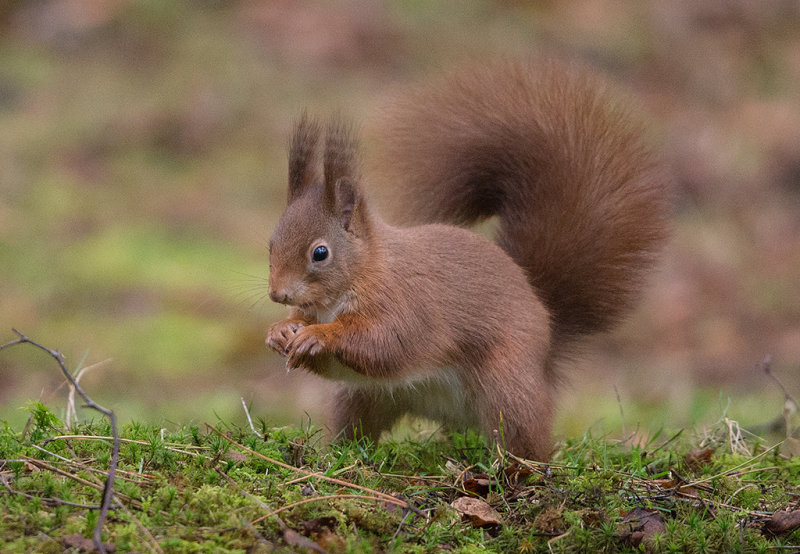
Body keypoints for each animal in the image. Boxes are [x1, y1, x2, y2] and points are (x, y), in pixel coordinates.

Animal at [264, 59, 668, 458]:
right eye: (271, 244)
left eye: (320, 253)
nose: (277, 294)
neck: (363, 271)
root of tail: (548, 342)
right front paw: (281, 330)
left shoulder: (407, 302)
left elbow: (386, 343)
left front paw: (319, 334)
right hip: (359, 397)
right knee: (358, 427)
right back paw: (340, 455)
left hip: (507, 387)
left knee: (526, 440)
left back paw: (516, 467)